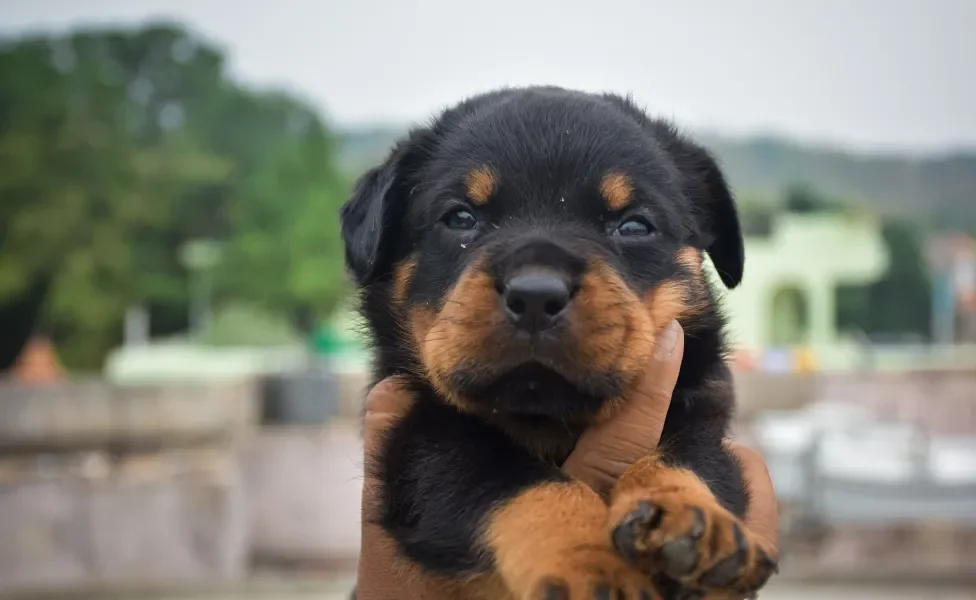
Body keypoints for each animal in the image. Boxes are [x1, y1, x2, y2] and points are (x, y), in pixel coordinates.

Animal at [344, 85, 776, 600]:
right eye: (461, 218)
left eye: (634, 226)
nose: (535, 295)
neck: (547, 420)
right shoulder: (415, 433)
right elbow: (505, 478)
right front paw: (591, 559)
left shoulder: (701, 408)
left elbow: (685, 456)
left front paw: (692, 518)